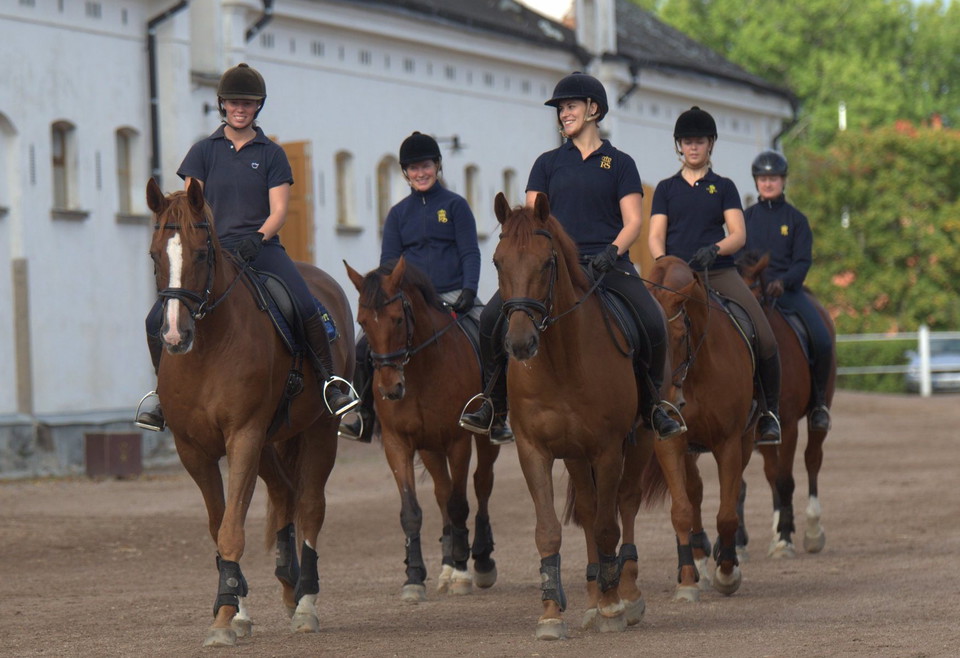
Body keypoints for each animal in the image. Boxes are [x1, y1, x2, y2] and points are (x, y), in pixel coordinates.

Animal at [146, 178, 353, 647]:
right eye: (153, 255)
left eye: (202, 253)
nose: (174, 335)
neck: (207, 349)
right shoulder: (194, 449)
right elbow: (219, 523)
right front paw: (233, 606)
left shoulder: (243, 435)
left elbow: (231, 529)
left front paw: (224, 618)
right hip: (271, 442)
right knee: (284, 494)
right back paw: (288, 584)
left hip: (319, 429)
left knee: (310, 505)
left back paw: (306, 603)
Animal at [343, 257, 500, 602]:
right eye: (363, 321)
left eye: (398, 319)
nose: (390, 389)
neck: (421, 370)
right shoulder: (398, 443)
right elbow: (412, 511)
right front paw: (414, 576)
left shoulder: (458, 441)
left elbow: (459, 503)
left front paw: (462, 570)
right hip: (430, 447)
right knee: (442, 492)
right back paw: (447, 563)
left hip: (483, 439)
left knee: (481, 485)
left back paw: (480, 560)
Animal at [494, 192, 651, 639]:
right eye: (497, 261)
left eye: (546, 264)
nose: (520, 343)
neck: (561, 362)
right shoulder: (534, 450)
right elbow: (550, 531)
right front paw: (550, 614)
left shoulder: (608, 449)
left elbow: (607, 526)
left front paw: (614, 608)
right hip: (576, 455)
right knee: (588, 507)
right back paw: (595, 595)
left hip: (641, 439)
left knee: (625, 504)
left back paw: (625, 594)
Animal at [642, 256, 757, 601]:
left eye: (680, 337)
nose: (665, 405)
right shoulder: (669, 443)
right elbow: (681, 508)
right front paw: (687, 579)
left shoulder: (729, 442)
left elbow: (727, 513)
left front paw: (727, 571)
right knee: (694, 491)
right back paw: (697, 556)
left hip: (746, 440)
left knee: (732, 491)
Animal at [738, 252, 836, 558]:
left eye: (757, 294)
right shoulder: (760, 429)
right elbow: (769, 477)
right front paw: (777, 533)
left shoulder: (790, 424)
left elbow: (786, 480)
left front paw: (784, 538)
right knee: (772, 473)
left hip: (818, 414)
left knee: (812, 459)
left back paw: (812, 530)